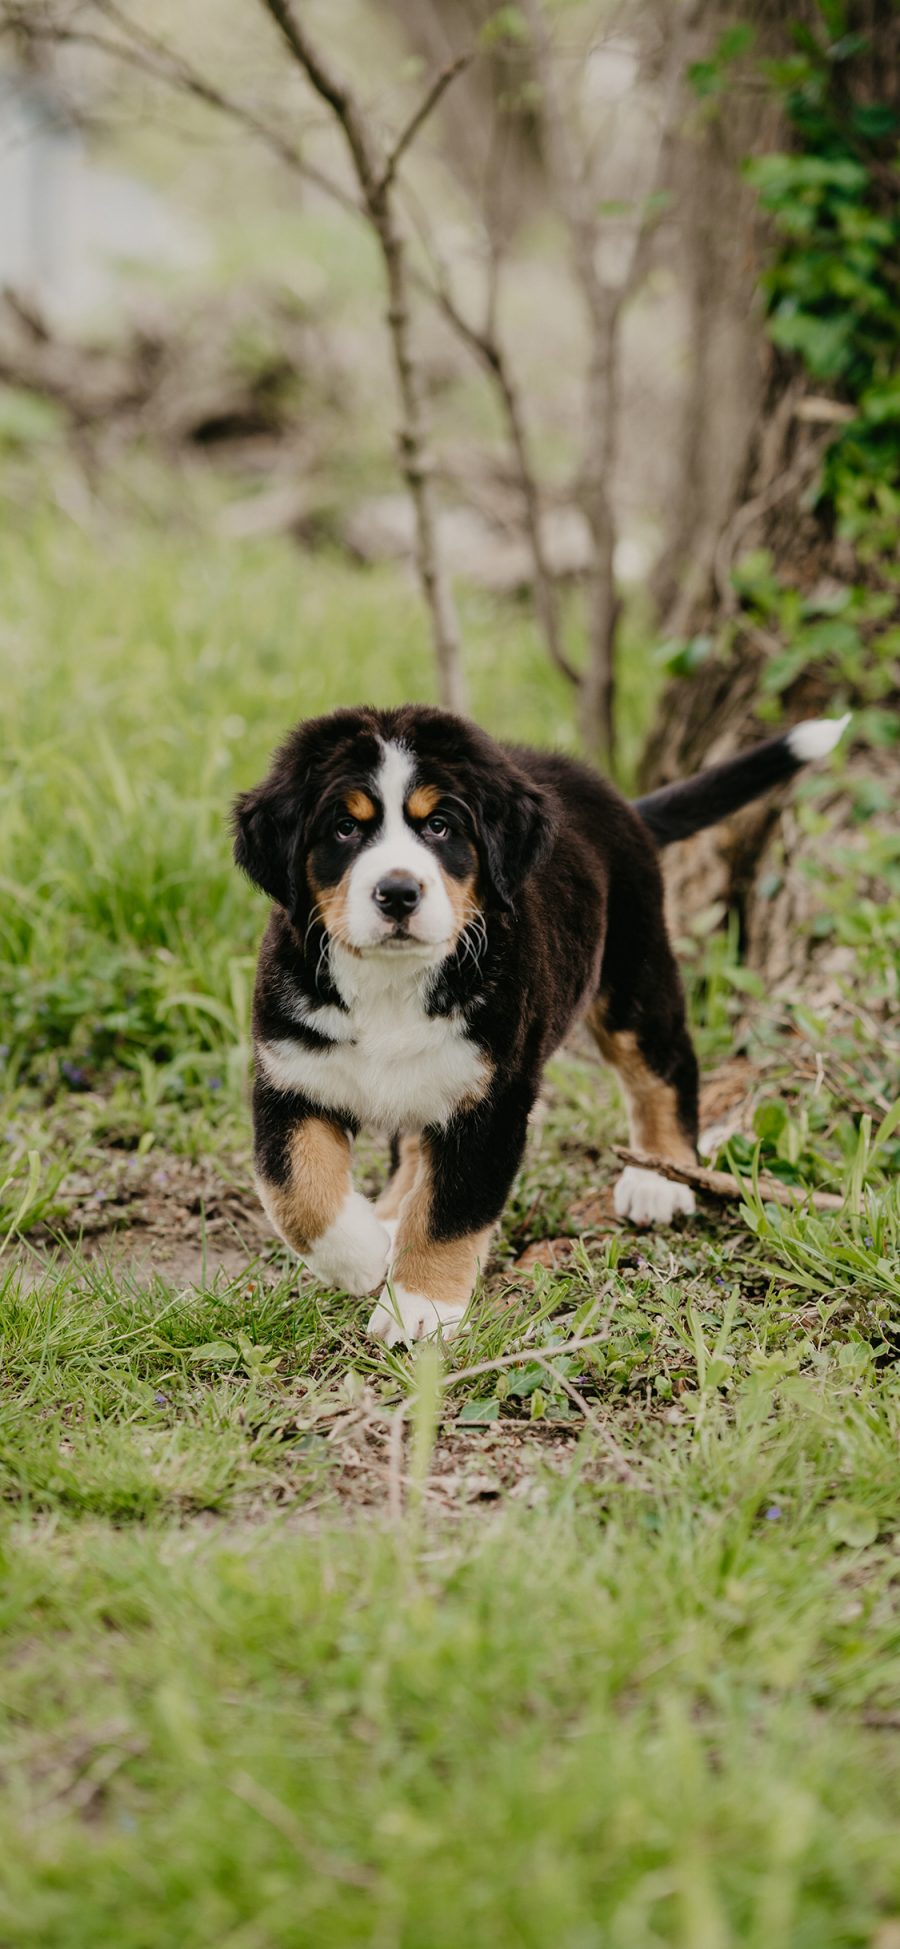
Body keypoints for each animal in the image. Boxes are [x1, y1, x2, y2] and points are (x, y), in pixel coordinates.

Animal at [233, 709, 849, 1348]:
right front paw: (361, 1256)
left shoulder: (493, 1098)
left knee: (664, 1068)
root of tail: (617, 800)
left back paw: (659, 1176)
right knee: (415, 1149)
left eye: (440, 827)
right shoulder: (291, 1077)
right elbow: (296, 1191)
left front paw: (419, 1308)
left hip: (633, 973)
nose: (398, 893)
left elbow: (451, 1211)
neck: (391, 984)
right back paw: (390, 1215)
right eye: (345, 830)